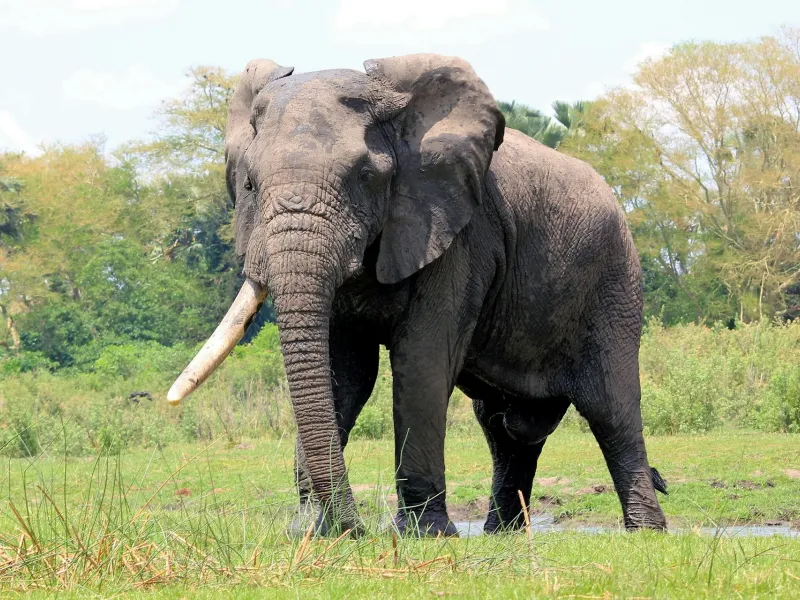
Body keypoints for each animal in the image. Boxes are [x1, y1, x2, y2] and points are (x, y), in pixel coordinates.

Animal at [167, 53, 668, 537]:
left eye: (365, 175)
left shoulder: (458, 233)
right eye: (249, 184)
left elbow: (421, 360)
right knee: (505, 427)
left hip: (614, 280)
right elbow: (343, 370)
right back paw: (503, 534)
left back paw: (645, 532)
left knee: (611, 409)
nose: (356, 529)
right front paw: (310, 532)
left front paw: (424, 534)